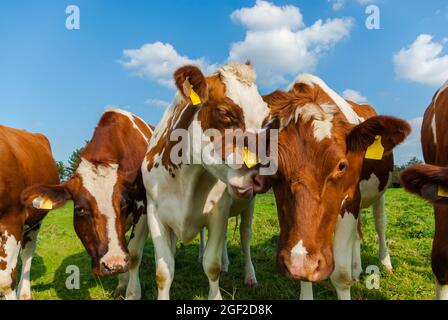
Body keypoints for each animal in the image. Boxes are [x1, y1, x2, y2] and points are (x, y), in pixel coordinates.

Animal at [21, 108, 152, 300]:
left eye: (123, 205)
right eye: (80, 210)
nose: (114, 264)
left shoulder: (143, 210)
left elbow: (134, 254)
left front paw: (132, 293)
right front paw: (122, 283)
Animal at [142, 63, 272, 300]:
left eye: (266, 120)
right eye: (224, 113)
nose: (266, 176)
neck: (185, 179)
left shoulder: (218, 211)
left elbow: (212, 266)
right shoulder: (154, 212)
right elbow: (164, 271)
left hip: (248, 205)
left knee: (245, 236)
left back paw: (249, 275)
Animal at [264, 74, 412, 300]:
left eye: (342, 165)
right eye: (271, 164)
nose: (298, 262)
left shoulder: (351, 199)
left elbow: (341, 275)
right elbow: (305, 275)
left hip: (380, 192)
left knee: (380, 224)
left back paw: (385, 262)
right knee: (358, 232)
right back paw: (356, 268)